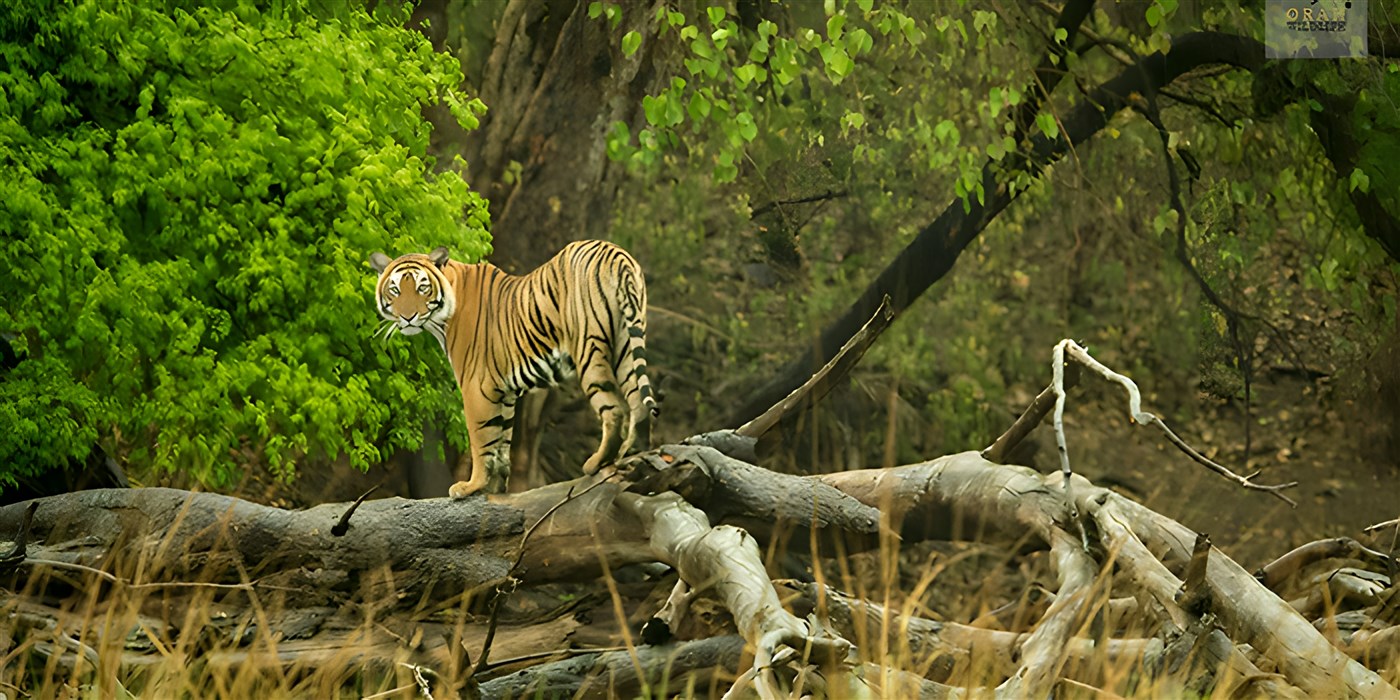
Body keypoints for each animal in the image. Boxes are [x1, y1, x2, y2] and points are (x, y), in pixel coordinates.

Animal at [369, 240, 658, 499]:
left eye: (422, 287)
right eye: (395, 289)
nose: (408, 317)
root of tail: (615, 253)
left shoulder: (476, 387)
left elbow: (481, 440)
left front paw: (471, 487)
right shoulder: (503, 391)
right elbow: (501, 439)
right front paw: (495, 487)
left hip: (589, 350)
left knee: (615, 408)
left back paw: (596, 463)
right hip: (626, 344)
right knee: (638, 404)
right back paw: (633, 457)